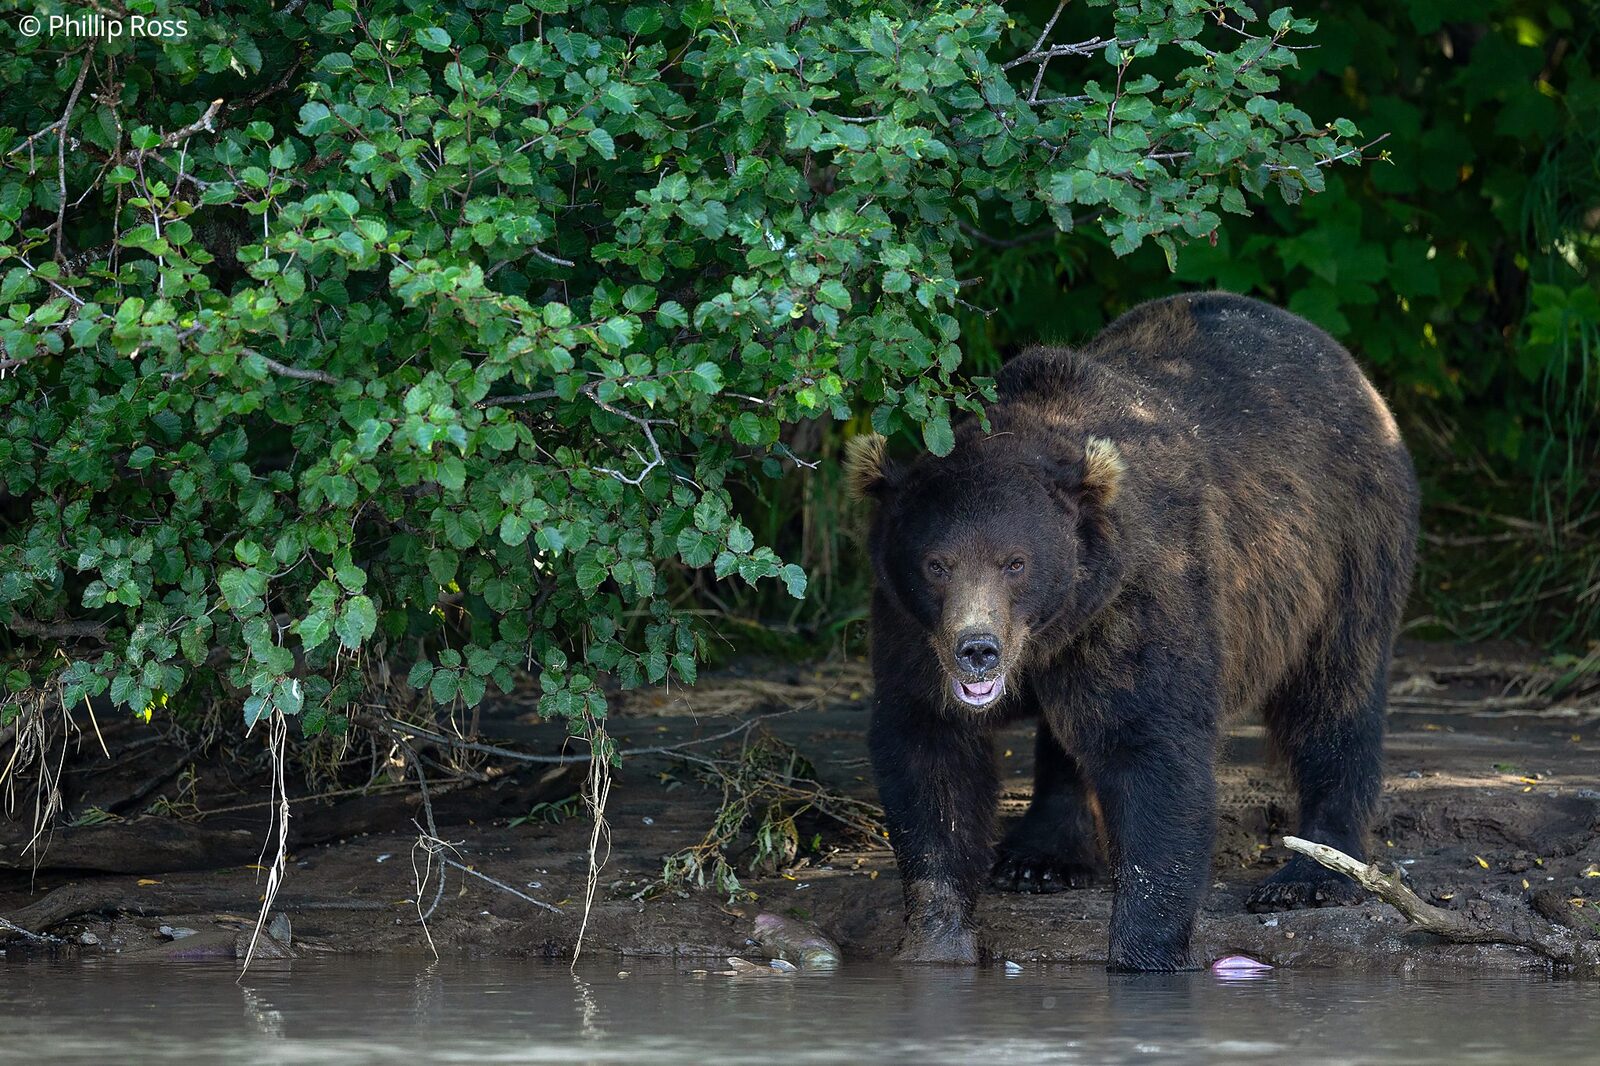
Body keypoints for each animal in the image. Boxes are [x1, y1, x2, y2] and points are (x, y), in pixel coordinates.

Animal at [846, 291, 1419, 972]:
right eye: (936, 563)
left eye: (1016, 561)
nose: (977, 650)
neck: (1050, 628)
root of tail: (1344, 362)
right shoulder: (912, 628)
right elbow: (930, 755)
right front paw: (937, 936)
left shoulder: (1140, 594)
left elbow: (1153, 752)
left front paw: (1144, 949)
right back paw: (1041, 855)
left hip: (1345, 549)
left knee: (1335, 693)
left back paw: (1313, 872)